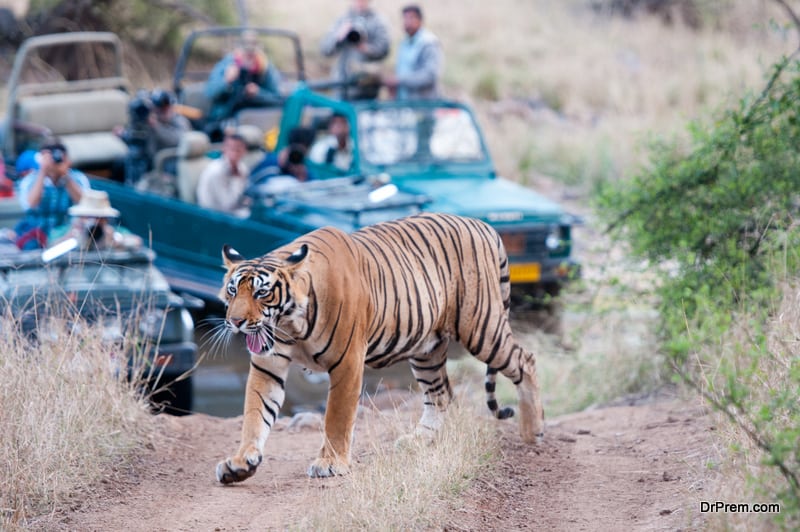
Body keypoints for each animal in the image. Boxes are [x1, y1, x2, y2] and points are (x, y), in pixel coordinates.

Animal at [214, 211, 544, 482]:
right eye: (232, 291)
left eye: (262, 293)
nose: (236, 321)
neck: (291, 324)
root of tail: (483, 224)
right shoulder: (267, 366)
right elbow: (255, 413)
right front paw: (240, 463)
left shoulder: (347, 362)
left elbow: (336, 417)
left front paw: (330, 463)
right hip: (427, 348)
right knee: (440, 394)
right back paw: (418, 441)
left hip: (481, 327)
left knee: (526, 361)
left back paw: (532, 432)